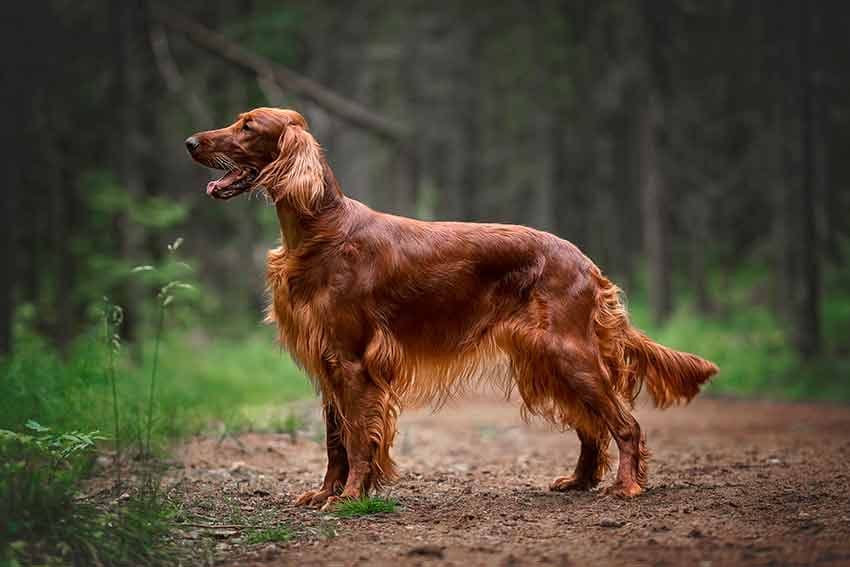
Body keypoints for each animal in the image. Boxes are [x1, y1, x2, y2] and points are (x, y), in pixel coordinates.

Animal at [186, 107, 716, 510]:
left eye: (248, 126)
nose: (190, 141)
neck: (320, 231)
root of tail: (586, 262)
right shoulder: (328, 361)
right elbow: (335, 440)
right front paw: (325, 492)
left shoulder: (353, 363)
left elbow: (357, 438)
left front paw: (352, 497)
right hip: (547, 359)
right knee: (591, 426)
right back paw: (580, 480)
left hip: (569, 353)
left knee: (624, 423)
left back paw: (627, 485)